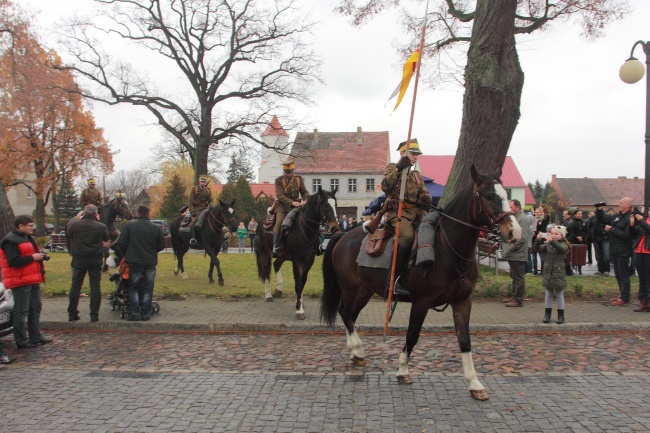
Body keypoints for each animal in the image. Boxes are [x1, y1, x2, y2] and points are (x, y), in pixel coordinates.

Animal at [253, 186, 336, 318]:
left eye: (335, 204)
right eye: (325, 205)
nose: (334, 227)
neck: (304, 230)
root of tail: (261, 222)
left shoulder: (309, 261)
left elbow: (303, 282)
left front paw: (301, 302)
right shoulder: (296, 261)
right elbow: (298, 284)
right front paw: (299, 309)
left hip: (282, 255)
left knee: (276, 264)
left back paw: (279, 289)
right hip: (264, 254)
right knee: (266, 272)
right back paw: (269, 295)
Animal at [320, 165, 520, 398]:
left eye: (507, 195)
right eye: (488, 196)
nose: (514, 232)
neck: (449, 248)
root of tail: (342, 236)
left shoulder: (462, 301)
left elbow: (464, 339)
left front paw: (474, 383)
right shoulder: (421, 302)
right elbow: (413, 334)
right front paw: (402, 370)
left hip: (364, 291)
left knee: (349, 315)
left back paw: (354, 352)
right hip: (351, 288)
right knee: (345, 312)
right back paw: (358, 350)